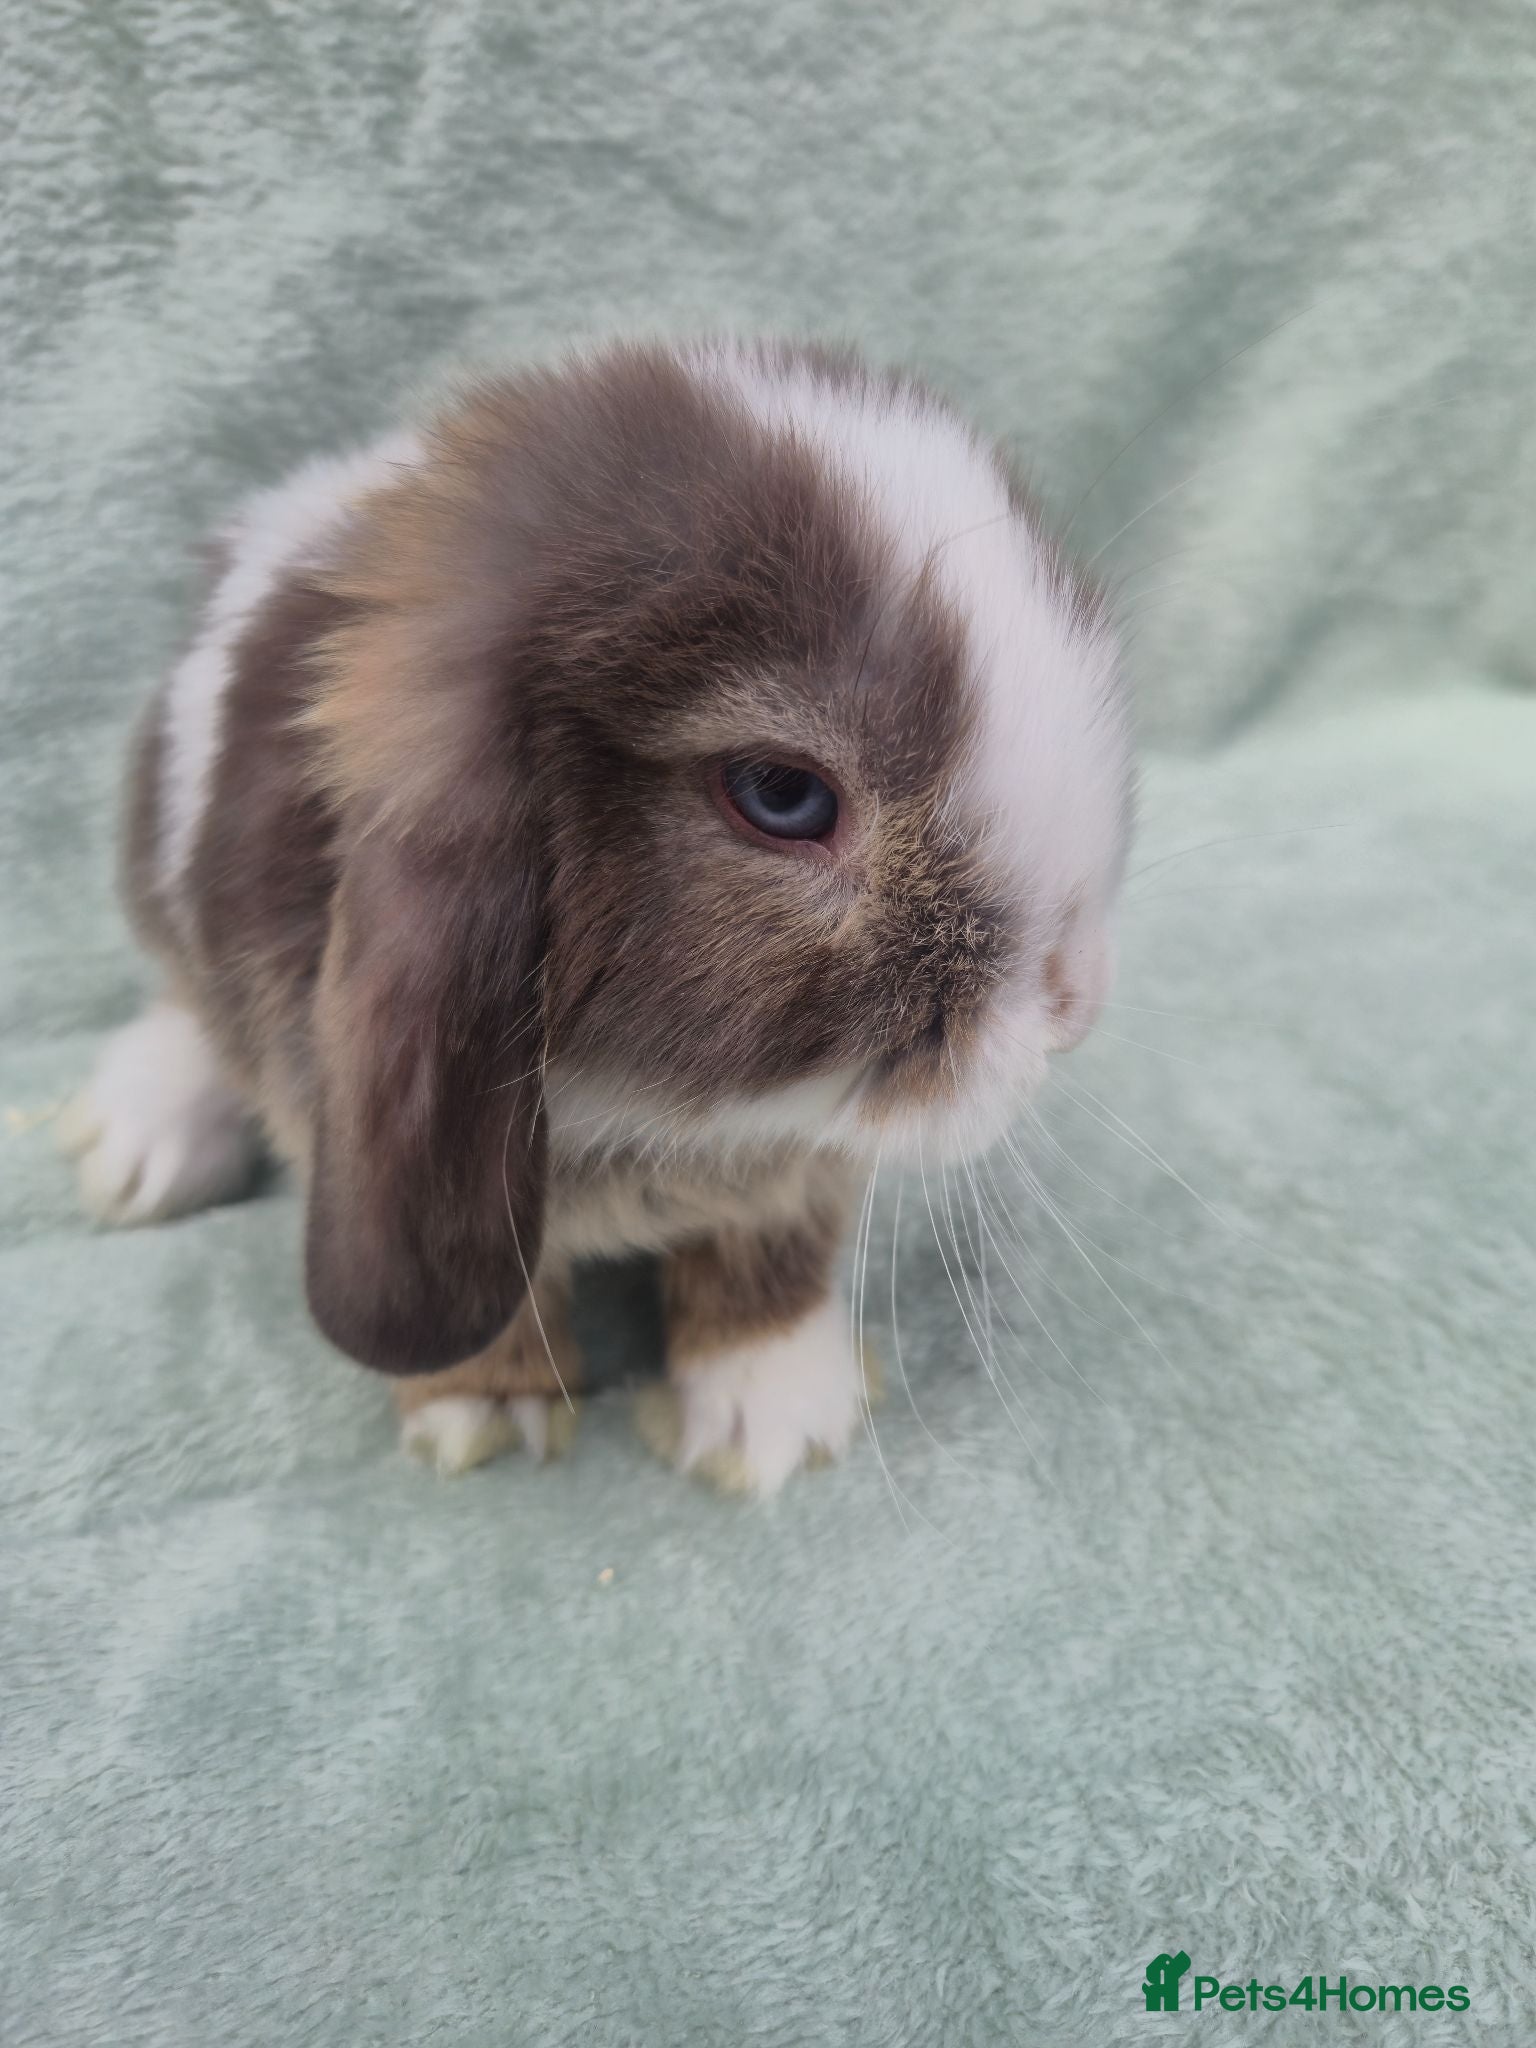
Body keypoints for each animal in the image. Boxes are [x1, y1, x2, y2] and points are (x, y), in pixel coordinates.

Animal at [65, 338, 1133, 1494]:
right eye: (781, 795)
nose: (1075, 999)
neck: (649, 1109)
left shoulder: (792, 1158)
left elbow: (769, 1250)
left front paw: (774, 1415)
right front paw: (486, 1408)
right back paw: (137, 1142)